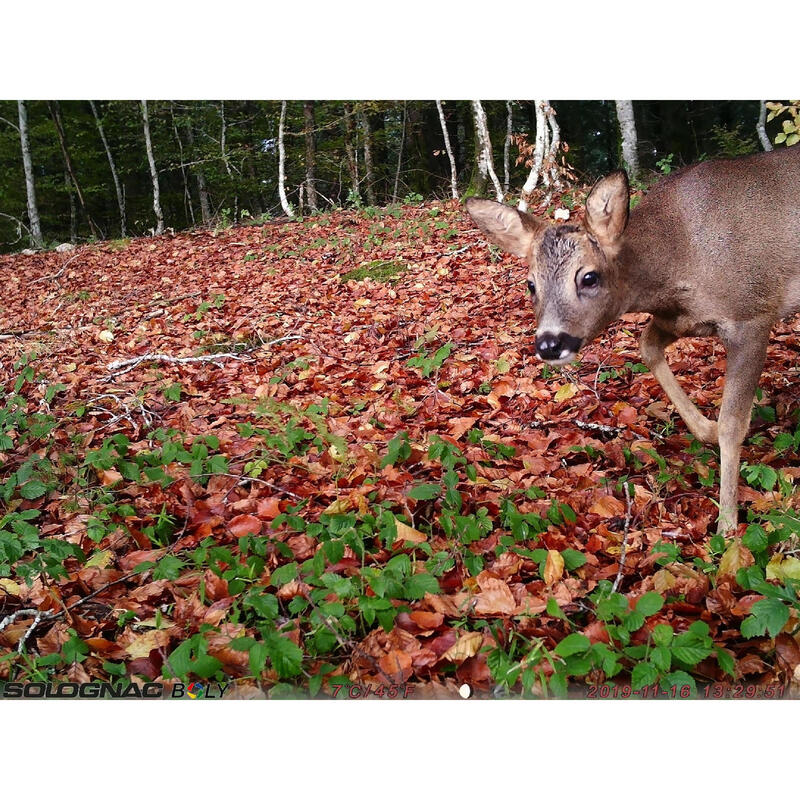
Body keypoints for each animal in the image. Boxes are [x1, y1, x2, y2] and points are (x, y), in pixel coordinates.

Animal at [466, 148, 800, 536]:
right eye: (531, 284)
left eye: (589, 277)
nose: (549, 343)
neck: (678, 262)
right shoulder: (679, 319)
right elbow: (646, 346)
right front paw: (705, 428)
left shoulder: (751, 315)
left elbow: (733, 425)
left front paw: (727, 526)